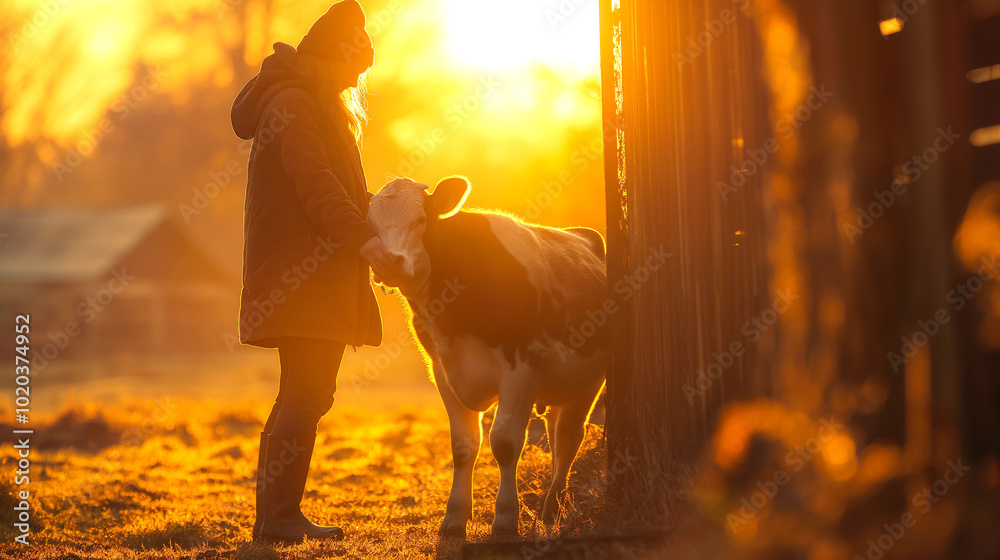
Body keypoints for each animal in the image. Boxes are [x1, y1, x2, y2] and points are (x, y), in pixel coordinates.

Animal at [366, 175, 609, 536]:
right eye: (371, 224)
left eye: (422, 219)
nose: (391, 262)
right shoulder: (443, 370)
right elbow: (463, 445)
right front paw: (454, 517)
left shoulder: (523, 365)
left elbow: (505, 443)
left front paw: (506, 519)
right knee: (556, 433)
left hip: (589, 380)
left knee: (568, 438)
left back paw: (551, 511)